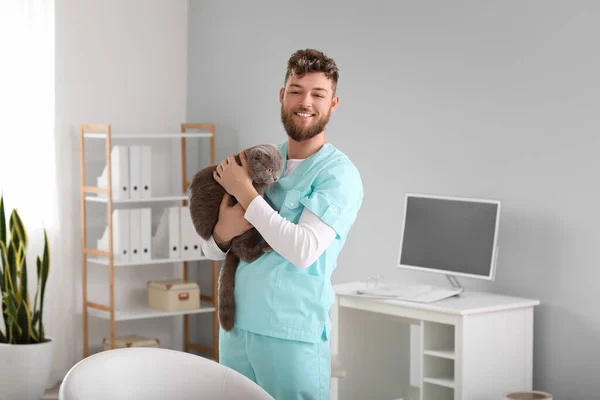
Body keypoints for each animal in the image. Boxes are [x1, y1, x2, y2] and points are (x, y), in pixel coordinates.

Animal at [188, 144, 284, 332]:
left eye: (278, 169)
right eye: (269, 169)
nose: (276, 177)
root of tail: (232, 246)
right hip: (247, 232)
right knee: (245, 253)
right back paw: (266, 246)